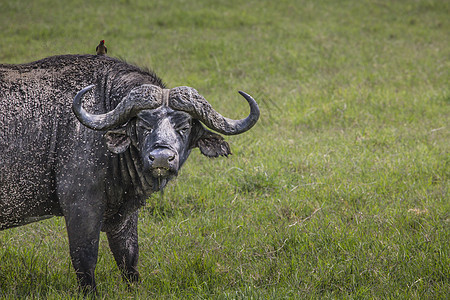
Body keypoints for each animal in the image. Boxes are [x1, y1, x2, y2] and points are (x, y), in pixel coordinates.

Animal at [0, 53, 260, 290]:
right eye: (143, 124)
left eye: (184, 126)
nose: (161, 157)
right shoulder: (80, 205)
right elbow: (85, 259)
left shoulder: (125, 214)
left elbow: (128, 256)